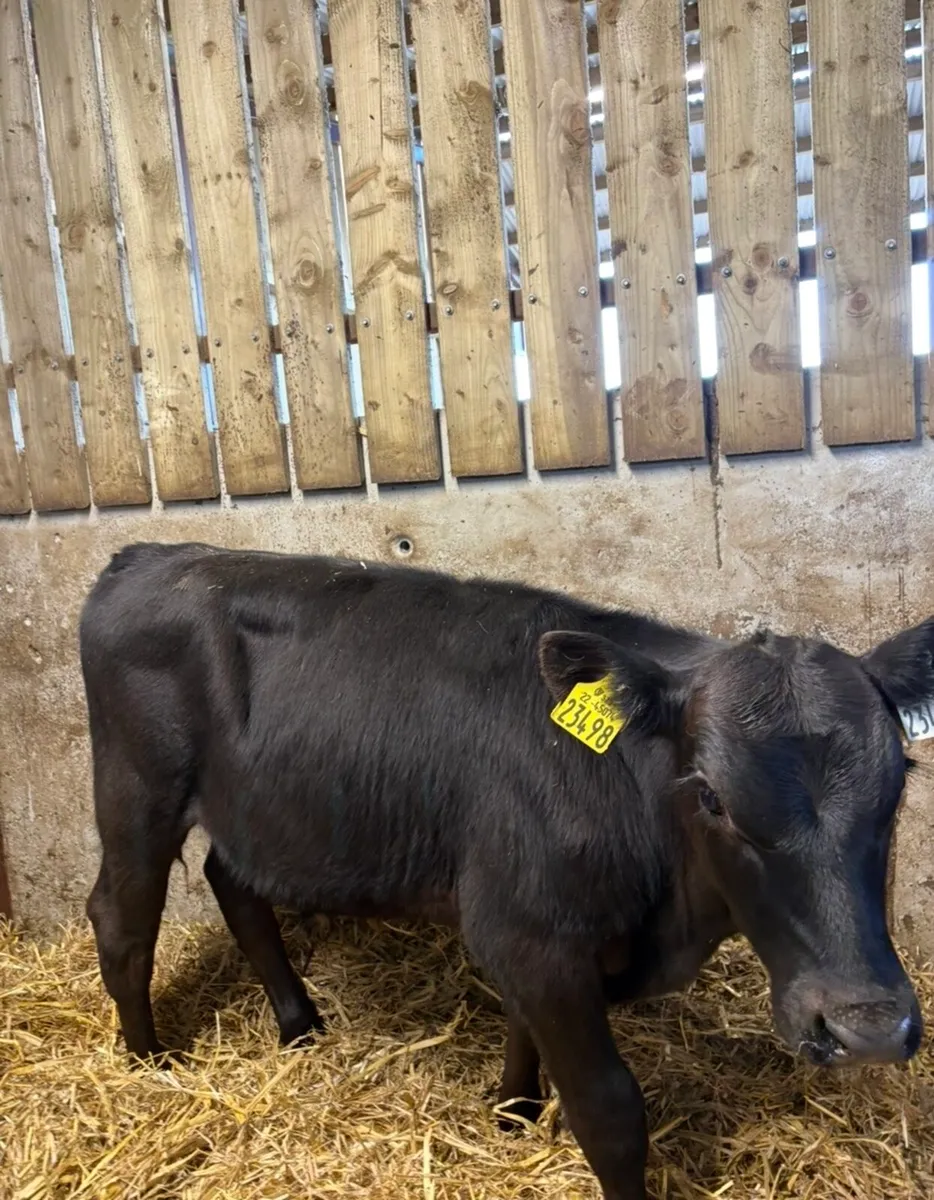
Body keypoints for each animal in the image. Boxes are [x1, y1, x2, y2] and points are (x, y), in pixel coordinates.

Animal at [79, 542, 926, 1200]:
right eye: (711, 796)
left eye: (902, 780)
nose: (866, 1028)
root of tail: (152, 555)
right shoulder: (532, 935)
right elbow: (610, 1113)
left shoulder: (530, 923)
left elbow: (523, 1029)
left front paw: (512, 1111)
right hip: (137, 788)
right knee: (121, 918)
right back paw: (148, 1060)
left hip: (257, 807)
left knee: (233, 882)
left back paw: (299, 1024)